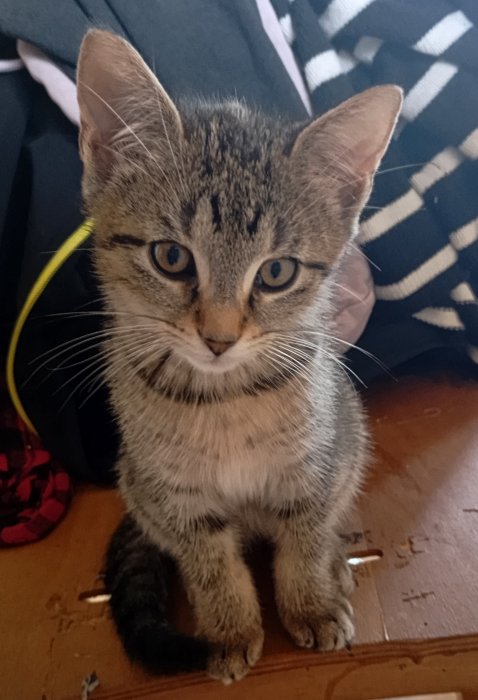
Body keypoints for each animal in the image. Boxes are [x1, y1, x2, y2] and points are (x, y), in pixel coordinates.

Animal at [77, 29, 402, 684]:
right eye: (171, 257)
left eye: (276, 273)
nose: (219, 338)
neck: (225, 400)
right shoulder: (176, 499)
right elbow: (211, 567)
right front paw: (230, 631)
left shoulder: (316, 469)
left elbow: (304, 542)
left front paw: (309, 603)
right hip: (136, 480)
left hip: (350, 435)